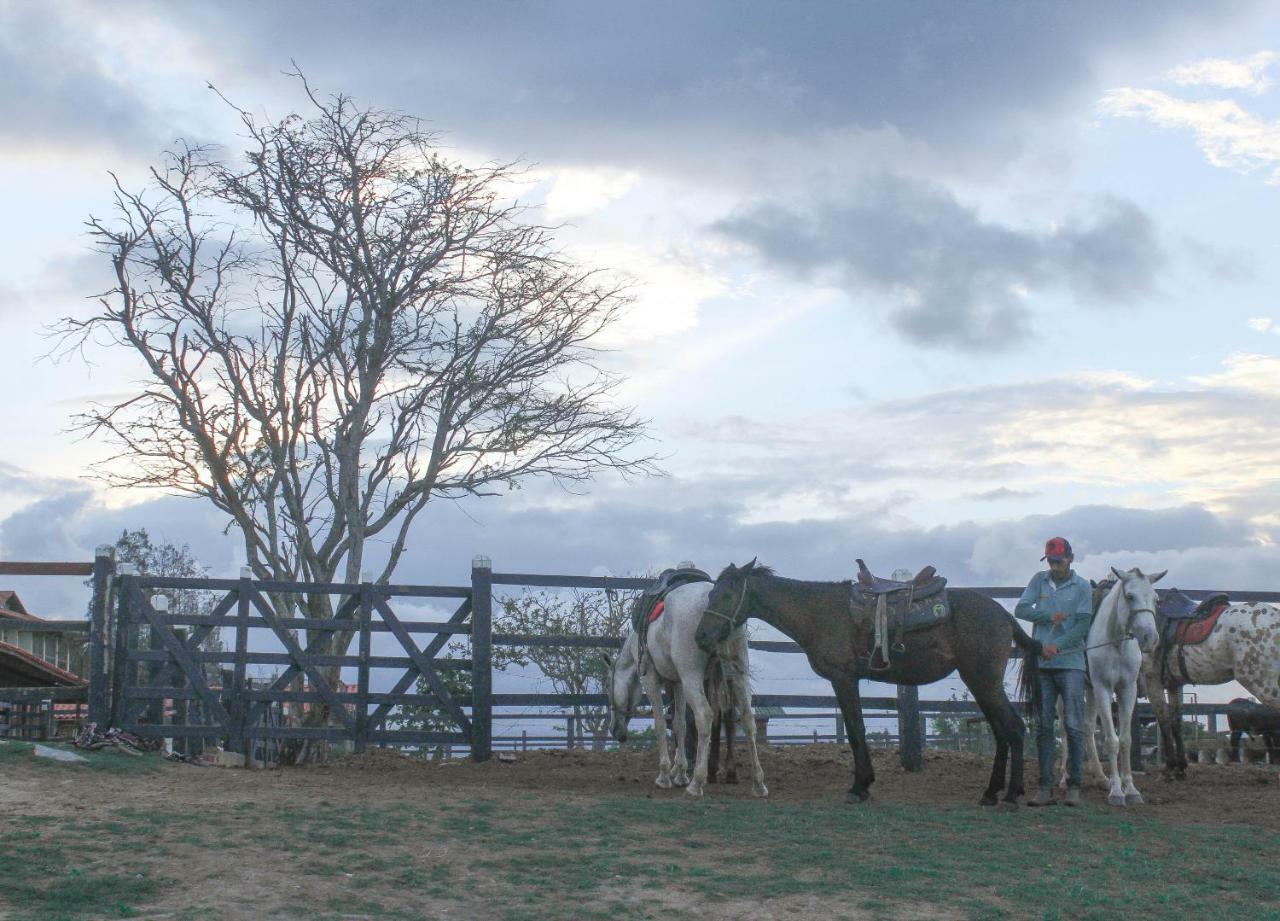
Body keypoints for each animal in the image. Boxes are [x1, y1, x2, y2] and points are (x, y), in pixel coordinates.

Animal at [604, 583, 762, 798]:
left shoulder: (650, 679)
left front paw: (664, 776)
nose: (614, 730)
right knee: (747, 719)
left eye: (608, 687)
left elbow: (661, 725)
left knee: (704, 716)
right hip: (737, 673)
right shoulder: (678, 683)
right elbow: (680, 724)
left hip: (692, 676)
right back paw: (758, 783)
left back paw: (697, 782)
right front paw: (680, 773)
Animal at [701, 557, 1039, 803]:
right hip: (980, 683)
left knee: (1013, 729)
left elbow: (855, 730)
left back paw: (1010, 794)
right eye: (711, 593)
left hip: (984, 682)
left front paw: (859, 786)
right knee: (1001, 732)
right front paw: (864, 783)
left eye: (727, 594)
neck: (817, 612)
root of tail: (1004, 616)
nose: (701, 636)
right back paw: (992, 792)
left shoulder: (843, 678)